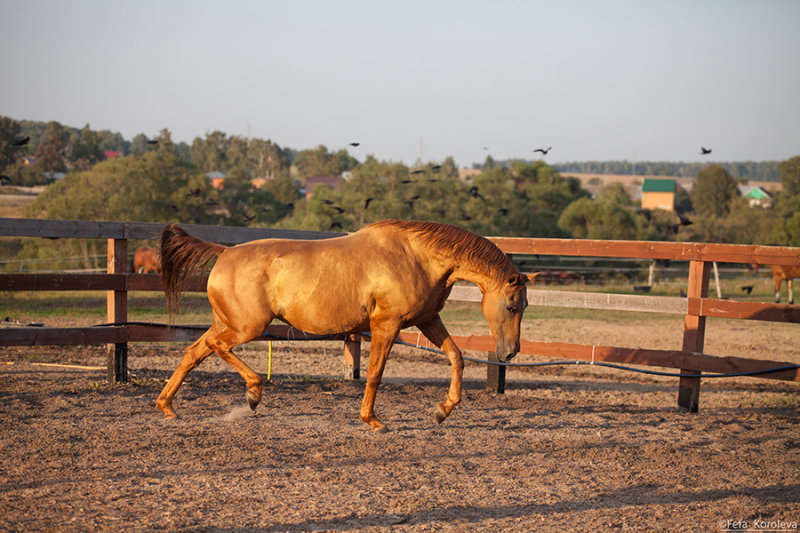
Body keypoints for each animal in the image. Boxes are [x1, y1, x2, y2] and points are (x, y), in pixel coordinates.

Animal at [157, 218, 536, 430]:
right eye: (511, 305)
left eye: (525, 305)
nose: (510, 353)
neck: (418, 256)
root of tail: (223, 252)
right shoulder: (386, 324)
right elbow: (375, 373)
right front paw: (373, 420)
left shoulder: (427, 320)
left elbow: (456, 357)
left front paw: (443, 410)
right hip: (245, 328)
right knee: (216, 348)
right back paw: (252, 393)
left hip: (228, 323)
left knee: (193, 353)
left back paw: (168, 408)